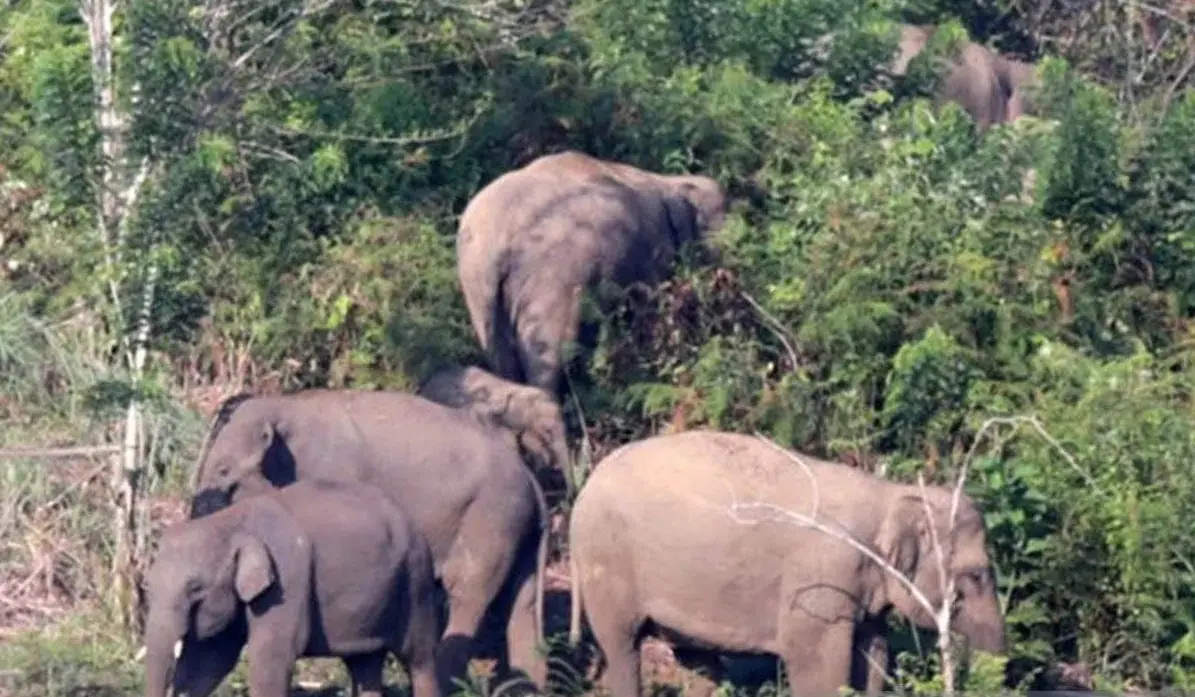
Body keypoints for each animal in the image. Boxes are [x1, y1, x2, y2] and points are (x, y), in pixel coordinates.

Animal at [142, 479, 442, 697]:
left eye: (195, 589)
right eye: (148, 588)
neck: (232, 520)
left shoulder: (286, 579)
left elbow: (271, 657)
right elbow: (211, 660)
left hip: (416, 581)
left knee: (419, 659)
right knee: (364, 663)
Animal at [187, 388, 550, 694]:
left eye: (223, 472)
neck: (284, 405)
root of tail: (533, 481)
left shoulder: (334, 471)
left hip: (491, 516)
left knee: (466, 592)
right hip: (517, 526)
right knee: (522, 604)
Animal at [456, 150, 729, 396]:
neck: (667, 182)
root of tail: (496, 245)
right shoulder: (652, 253)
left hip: (478, 291)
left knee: (501, 358)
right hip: (552, 280)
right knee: (551, 354)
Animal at [566, 430, 1006, 697]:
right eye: (975, 575)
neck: (889, 495)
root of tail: (583, 490)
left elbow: (874, 655)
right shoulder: (819, 580)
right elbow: (816, 663)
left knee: (695, 661)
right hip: (606, 564)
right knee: (622, 647)